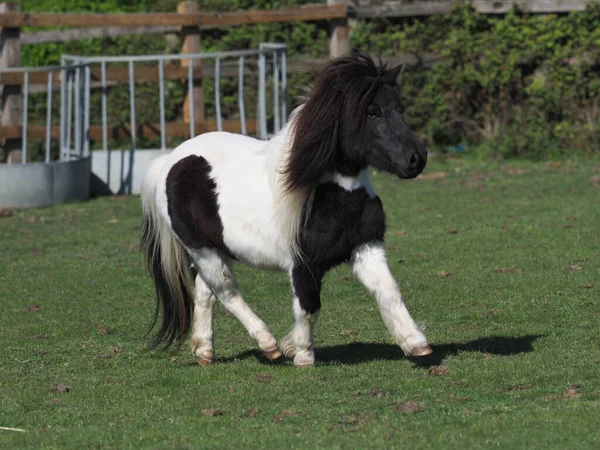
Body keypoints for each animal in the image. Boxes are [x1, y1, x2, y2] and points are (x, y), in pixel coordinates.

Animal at [141, 50, 432, 366]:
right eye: (372, 111)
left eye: (400, 109)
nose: (417, 159)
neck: (330, 194)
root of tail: (169, 161)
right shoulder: (303, 264)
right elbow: (308, 306)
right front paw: (302, 354)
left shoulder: (366, 246)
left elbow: (389, 291)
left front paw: (416, 343)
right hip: (202, 250)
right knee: (228, 292)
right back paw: (268, 345)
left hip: (217, 249)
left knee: (206, 292)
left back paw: (205, 352)